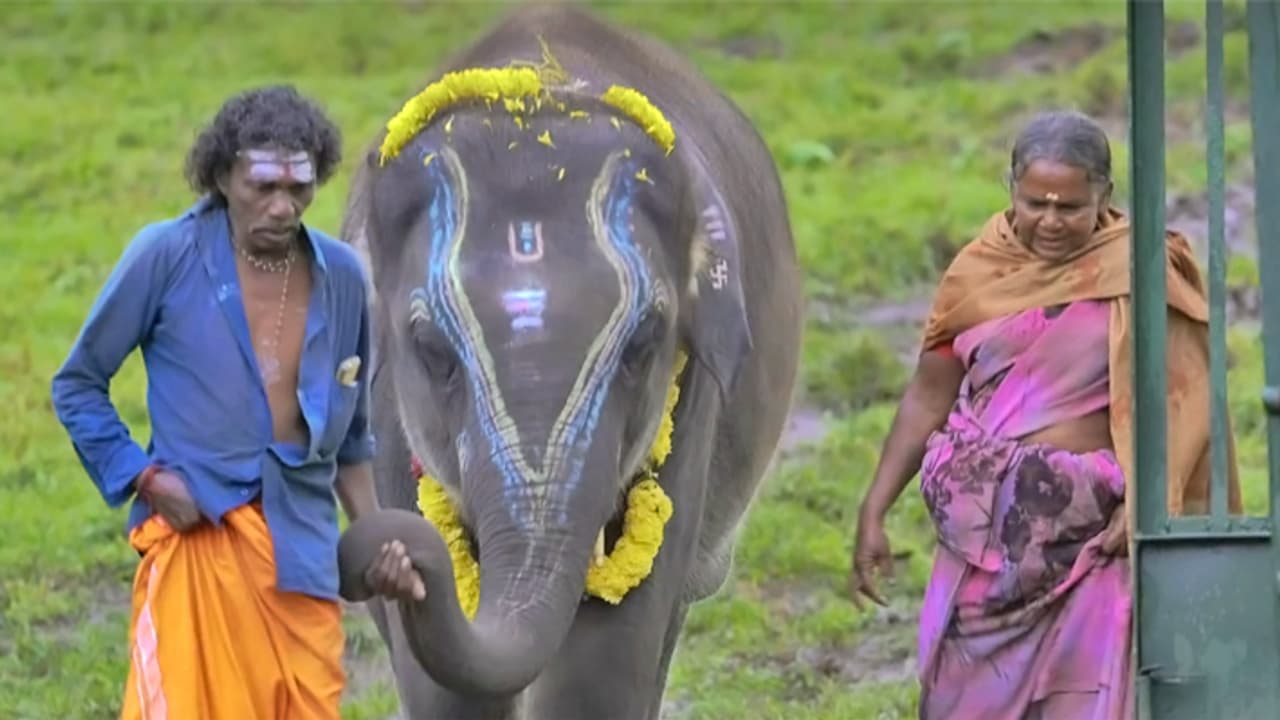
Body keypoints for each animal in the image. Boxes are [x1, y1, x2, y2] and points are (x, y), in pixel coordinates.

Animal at [334, 4, 803, 718]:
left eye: (643, 343)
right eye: (432, 349)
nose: (390, 556)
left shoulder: (690, 402)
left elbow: (607, 660)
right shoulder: (387, 414)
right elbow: (443, 690)